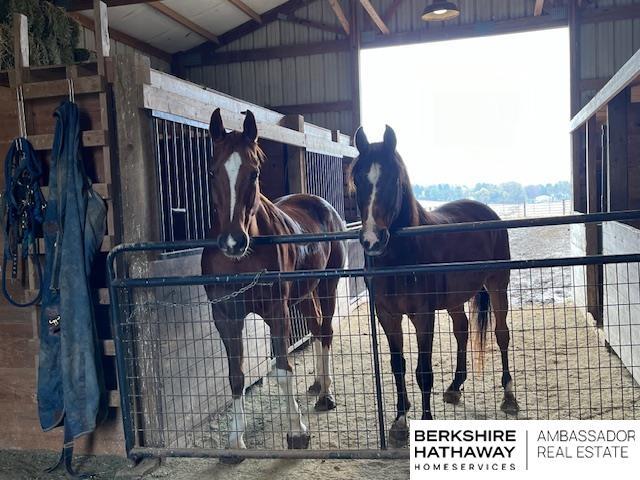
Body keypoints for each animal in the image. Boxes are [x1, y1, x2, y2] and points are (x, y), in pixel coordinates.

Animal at [202, 109, 348, 454]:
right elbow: (236, 375)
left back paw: (326, 394)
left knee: (325, 332)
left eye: (254, 173)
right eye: (212, 172)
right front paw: (235, 440)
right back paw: (318, 383)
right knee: (316, 326)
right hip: (306, 293)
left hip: (328, 286)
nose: (233, 242)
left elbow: (283, 370)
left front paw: (296, 431)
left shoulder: (277, 311)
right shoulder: (225, 315)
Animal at [350, 126, 520, 446]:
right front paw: (400, 420)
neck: (402, 257)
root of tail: (488, 211)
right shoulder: (387, 315)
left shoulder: (423, 316)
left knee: (502, 334)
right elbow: (398, 366)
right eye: (357, 180)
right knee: (462, 330)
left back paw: (508, 395)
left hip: (497, 285)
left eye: (393, 179)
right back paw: (455, 385)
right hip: (455, 298)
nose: (372, 240)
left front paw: (425, 421)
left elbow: (424, 371)